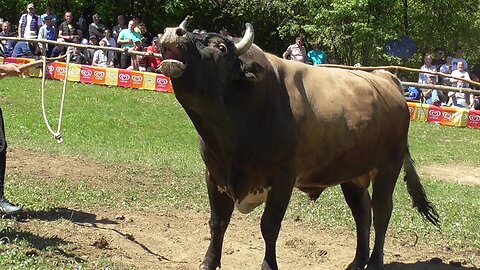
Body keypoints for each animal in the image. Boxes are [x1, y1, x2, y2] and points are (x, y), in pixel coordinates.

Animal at [158, 23, 438, 270]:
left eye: (221, 46)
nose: (173, 32)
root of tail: (386, 77)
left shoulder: (283, 178)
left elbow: (269, 226)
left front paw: (268, 265)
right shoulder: (215, 175)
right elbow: (218, 222)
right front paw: (208, 262)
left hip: (388, 166)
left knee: (381, 212)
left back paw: (375, 262)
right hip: (352, 174)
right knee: (362, 213)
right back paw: (357, 261)